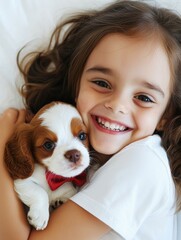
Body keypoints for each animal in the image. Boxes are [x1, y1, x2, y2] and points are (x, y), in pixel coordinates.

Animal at [5, 101, 90, 229]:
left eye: (82, 136)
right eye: (48, 145)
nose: (74, 154)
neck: (52, 176)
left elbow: (69, 190)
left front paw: (61, 200)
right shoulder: (23, 181)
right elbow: (39, 192)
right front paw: (40, 216)